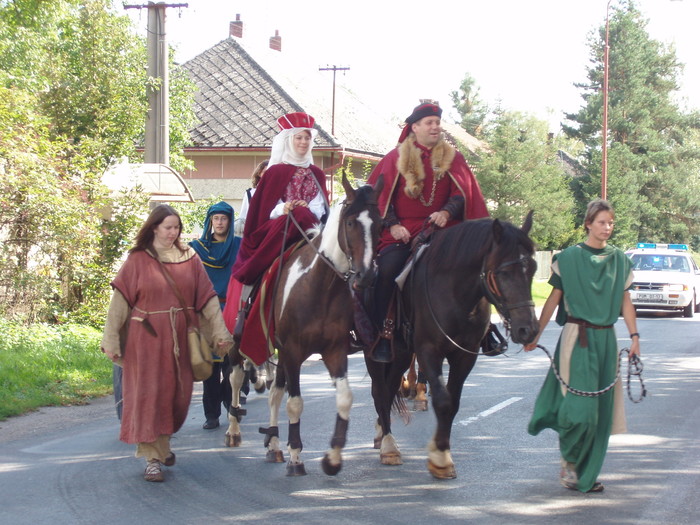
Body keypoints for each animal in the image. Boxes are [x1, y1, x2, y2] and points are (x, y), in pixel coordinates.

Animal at [256, 173, 383, 476]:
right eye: (350, 222)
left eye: (380, 224)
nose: (366, 276)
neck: (319, 287)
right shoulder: (292, 352)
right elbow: (295, 403)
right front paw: (296, 456)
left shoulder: (334, 351)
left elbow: (345, 398)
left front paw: (332, 458)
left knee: (275, 393)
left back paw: (274, 443)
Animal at [365, 212, 539, 479]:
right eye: (502, 273)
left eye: (532, 269)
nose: (527, 330)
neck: (456, 291)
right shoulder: (428, 350)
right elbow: (443, 400)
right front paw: (440, 458)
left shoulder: (465, 356)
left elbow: (453, 402)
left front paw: (442, 453)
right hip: (374, 351)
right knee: (380, 391)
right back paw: (388, 446)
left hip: (402, 352)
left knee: (391, 386)